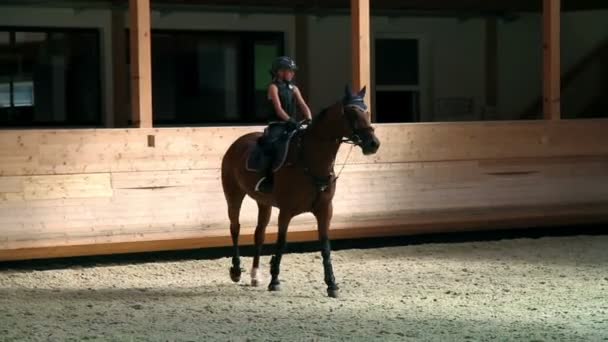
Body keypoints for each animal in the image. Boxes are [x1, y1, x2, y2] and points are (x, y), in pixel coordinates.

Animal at [218, 87, 380, 298]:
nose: (373, 144)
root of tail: (237, 143)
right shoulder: (286, 211)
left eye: (367, 112)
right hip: (233, 194)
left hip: (264, 202)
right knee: (235, 227)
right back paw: (236, 271)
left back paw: (255, 275)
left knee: (259, 233)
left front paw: (332, 284)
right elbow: (281, 242)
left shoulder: (324, 210)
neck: (311, 160)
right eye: (351, 113)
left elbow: (325, 246)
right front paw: (275, 281)